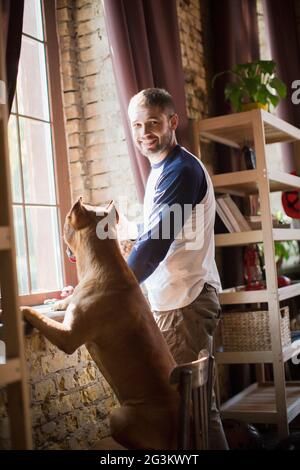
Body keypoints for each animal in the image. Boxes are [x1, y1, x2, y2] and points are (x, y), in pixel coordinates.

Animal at [22, 196, 180, 450]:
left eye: (66, 219)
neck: (104, 263)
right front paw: (60, 302)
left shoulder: (68, 336)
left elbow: (38, 316)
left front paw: (21, 308)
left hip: (119, 417)